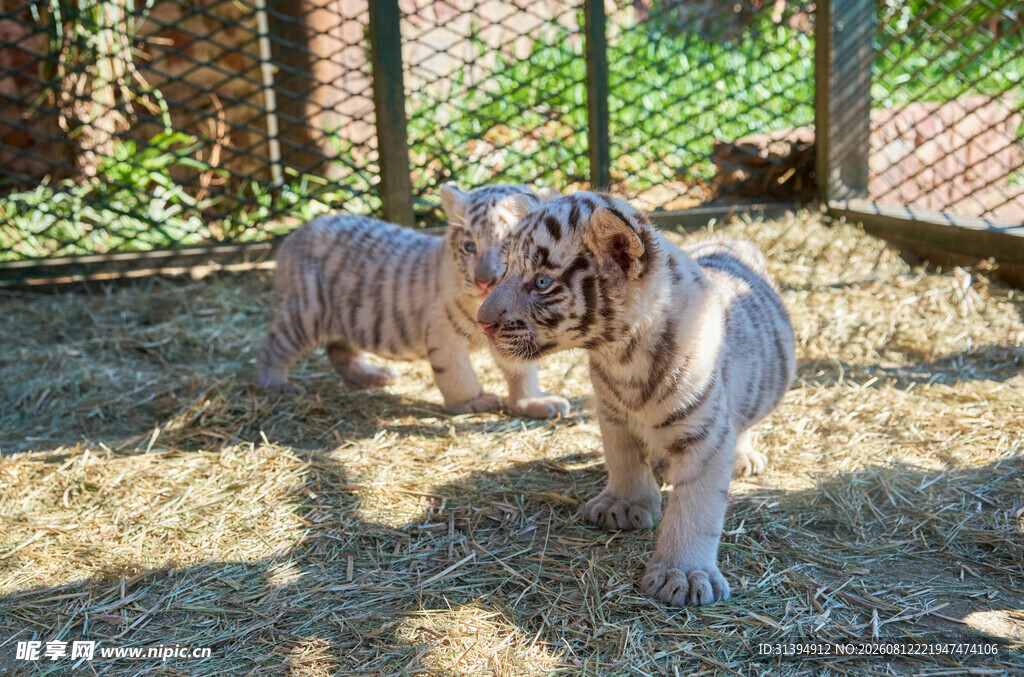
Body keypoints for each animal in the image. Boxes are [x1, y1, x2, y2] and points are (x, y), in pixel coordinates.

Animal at [257, 184, 571, 419]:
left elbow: (523, 373)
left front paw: (533, 403)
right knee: (272, 344)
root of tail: (294, 236)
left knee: (339, 352)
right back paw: (278, 384)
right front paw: (472, 401)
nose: (485, 281)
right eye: (470, 246)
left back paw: (375, 375)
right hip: (306, 311)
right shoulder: (444, 334)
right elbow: (457, 373)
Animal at [476, 191, 795, 606]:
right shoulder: (612, 414)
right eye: (507, 269)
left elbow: (696, 507)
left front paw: (683, 574)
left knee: (743, 423)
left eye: (542, 281)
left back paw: (742, 457)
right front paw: (623, 505)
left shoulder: (707, 433)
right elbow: (623, 460)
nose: (482, 322)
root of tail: (731, 239)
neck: (621, 356)